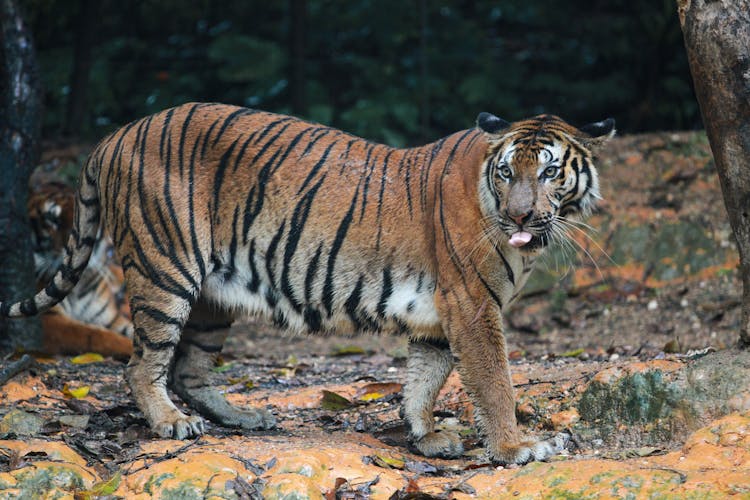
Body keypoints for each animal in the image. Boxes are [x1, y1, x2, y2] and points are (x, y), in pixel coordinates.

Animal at [27, 182, 134, 358]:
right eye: (52, 219)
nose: (76, 246)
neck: (79, 283)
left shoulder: (112, 319)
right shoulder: (49, 321)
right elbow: (95, 335)